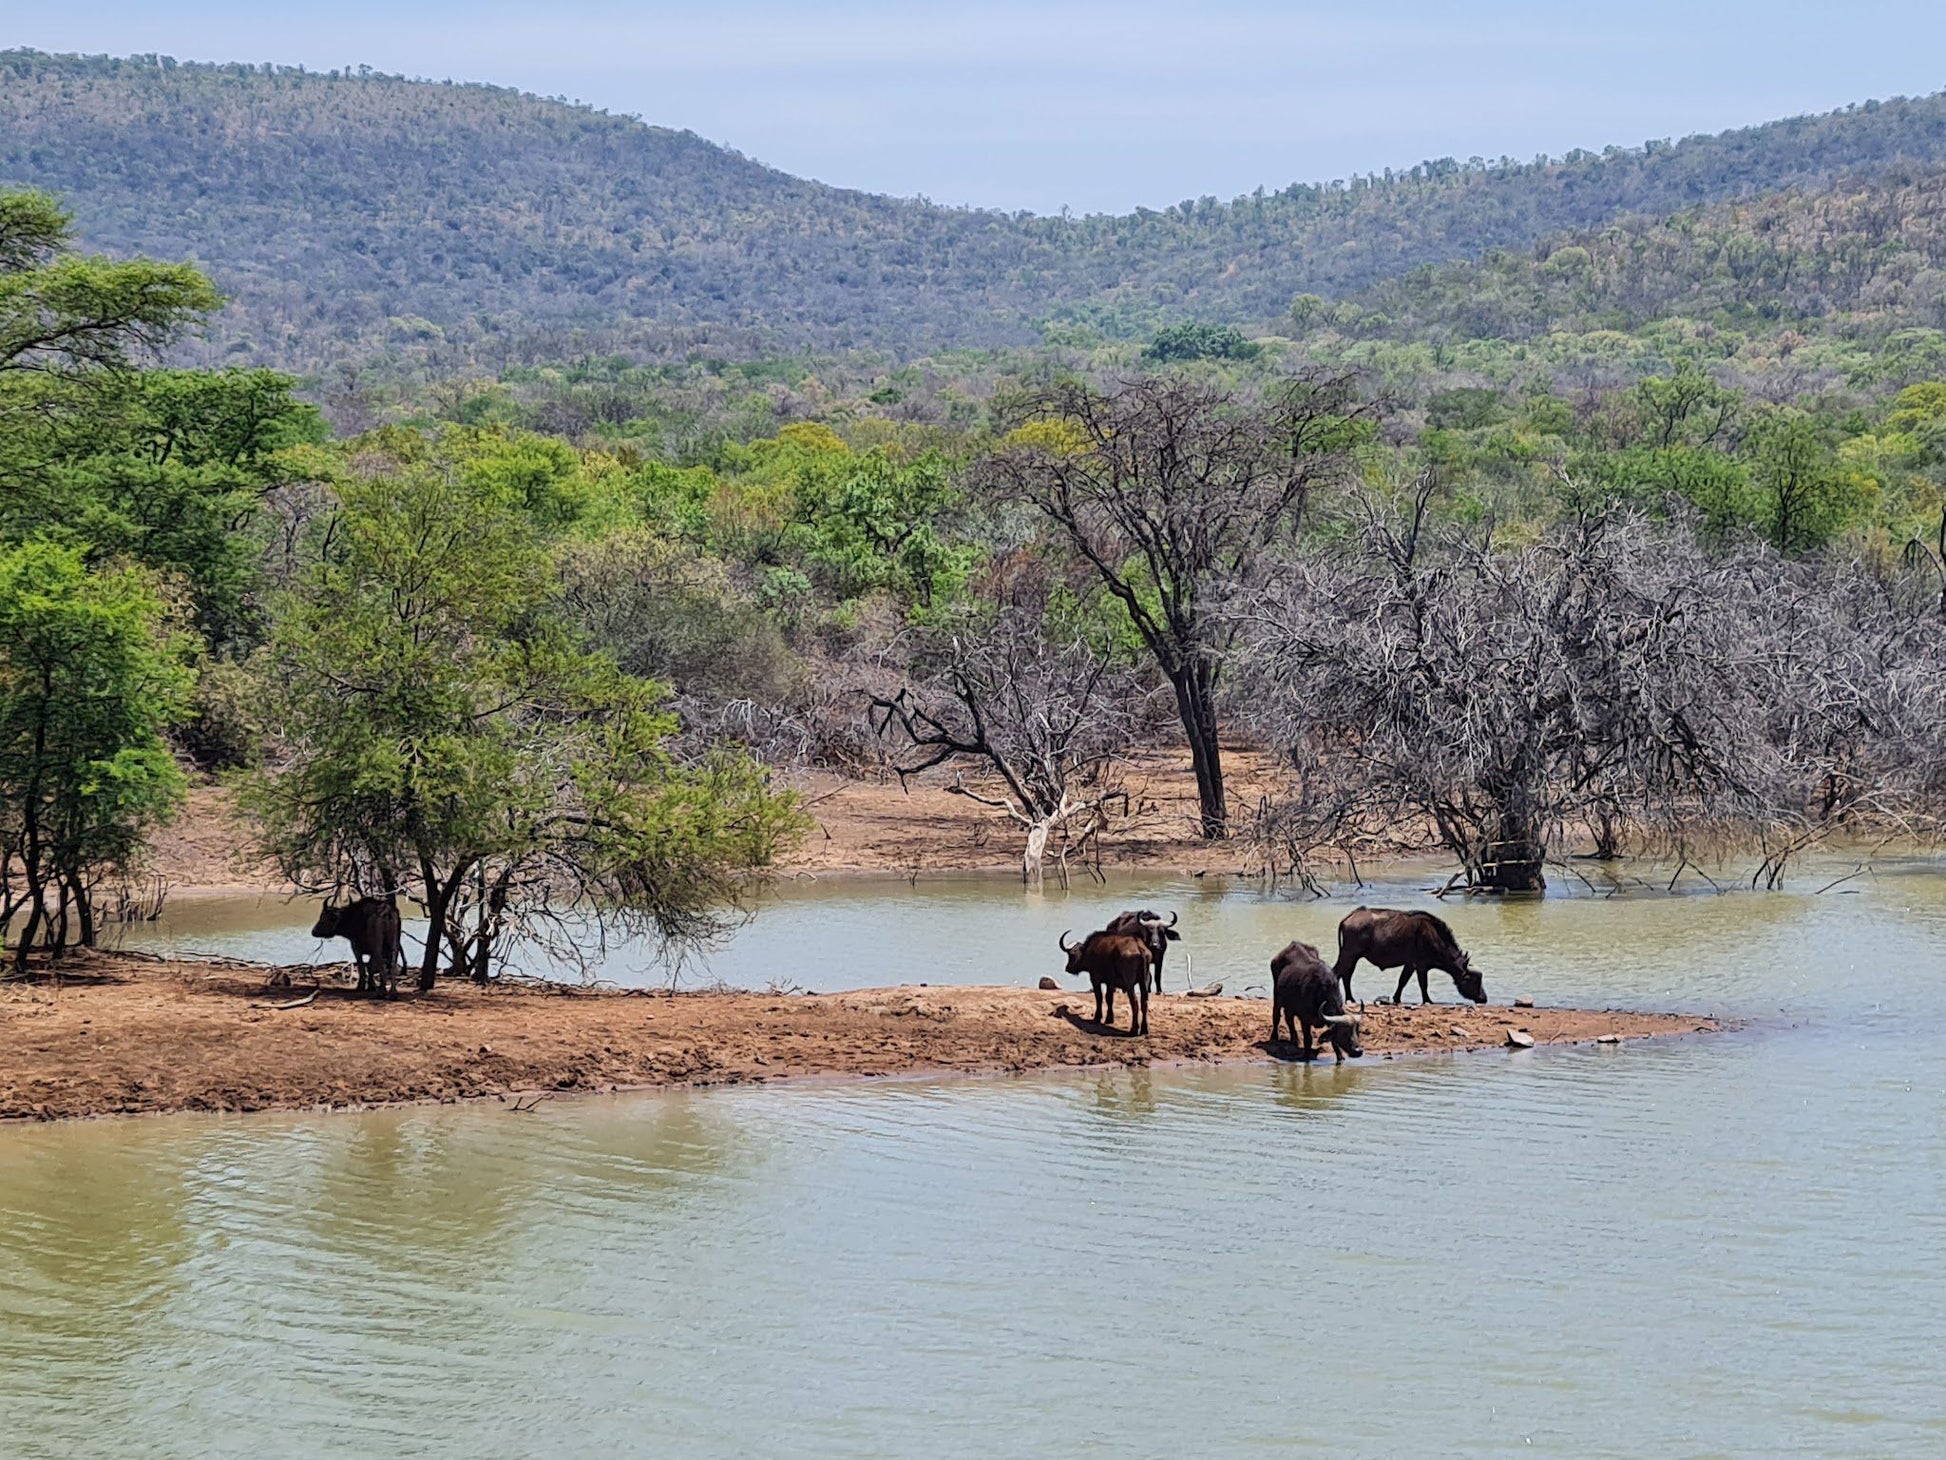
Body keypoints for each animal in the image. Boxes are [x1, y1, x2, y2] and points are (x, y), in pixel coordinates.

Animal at [1338, 911, 1486, 1012]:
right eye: (1474, 981)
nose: (1484, 998)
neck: (1433, 936)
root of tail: (1348, 918)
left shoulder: (1410, 965)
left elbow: (1402, 981)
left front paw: (1396, 999)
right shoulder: (1421, 966)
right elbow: (1423, 984)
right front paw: (1428, 1000)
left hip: (1351, 957)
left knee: (1345, 975)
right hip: (1349, 955)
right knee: (1340, 973)